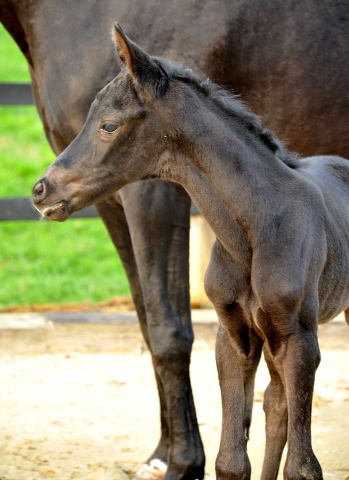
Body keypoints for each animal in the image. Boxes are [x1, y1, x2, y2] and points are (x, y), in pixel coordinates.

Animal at [0, 1, 348, 478]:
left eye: (109, 125)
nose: (41, 191)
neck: (261, 222)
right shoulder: (236, 335)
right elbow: (231, 455)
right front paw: (166, 453)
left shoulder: (299, 340)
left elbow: (169, 333)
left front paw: (181, 461)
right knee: (274, 404)